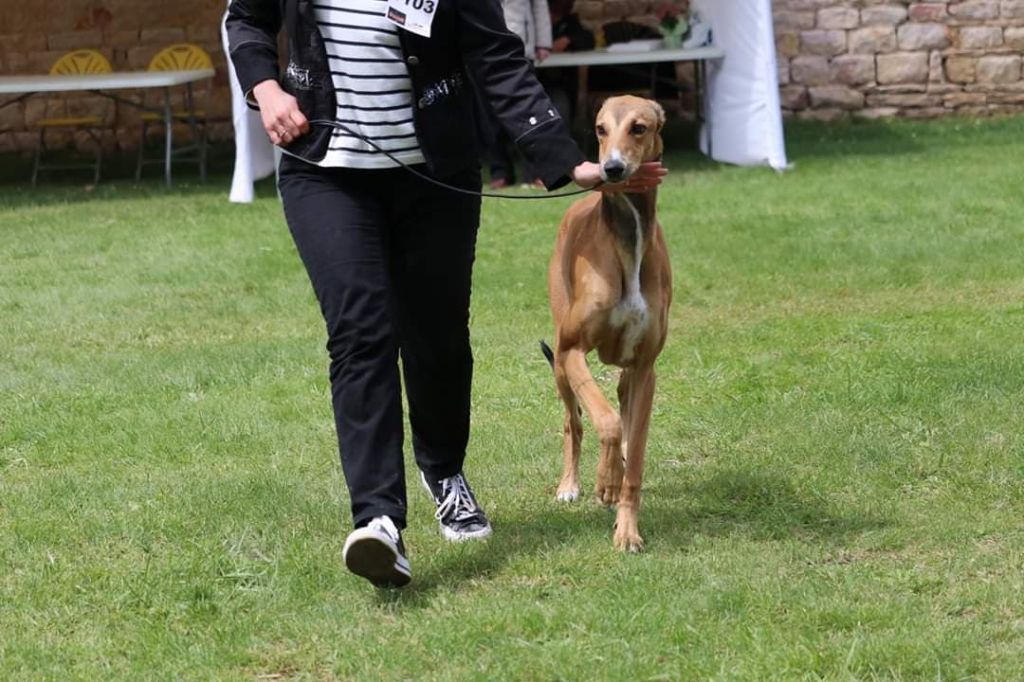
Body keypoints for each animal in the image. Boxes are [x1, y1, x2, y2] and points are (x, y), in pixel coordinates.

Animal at [544, 95, 671, 548]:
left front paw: (627, 529)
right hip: (560, 362)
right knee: (574, 422)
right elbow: (606, 421)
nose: (610, 169)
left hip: (627, 372)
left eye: (639, 127)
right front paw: (604, 482)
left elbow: (635, 454)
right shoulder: (573, 350)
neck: (629, 239)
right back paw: (571, 484)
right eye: (600, 128)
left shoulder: (646, 368)